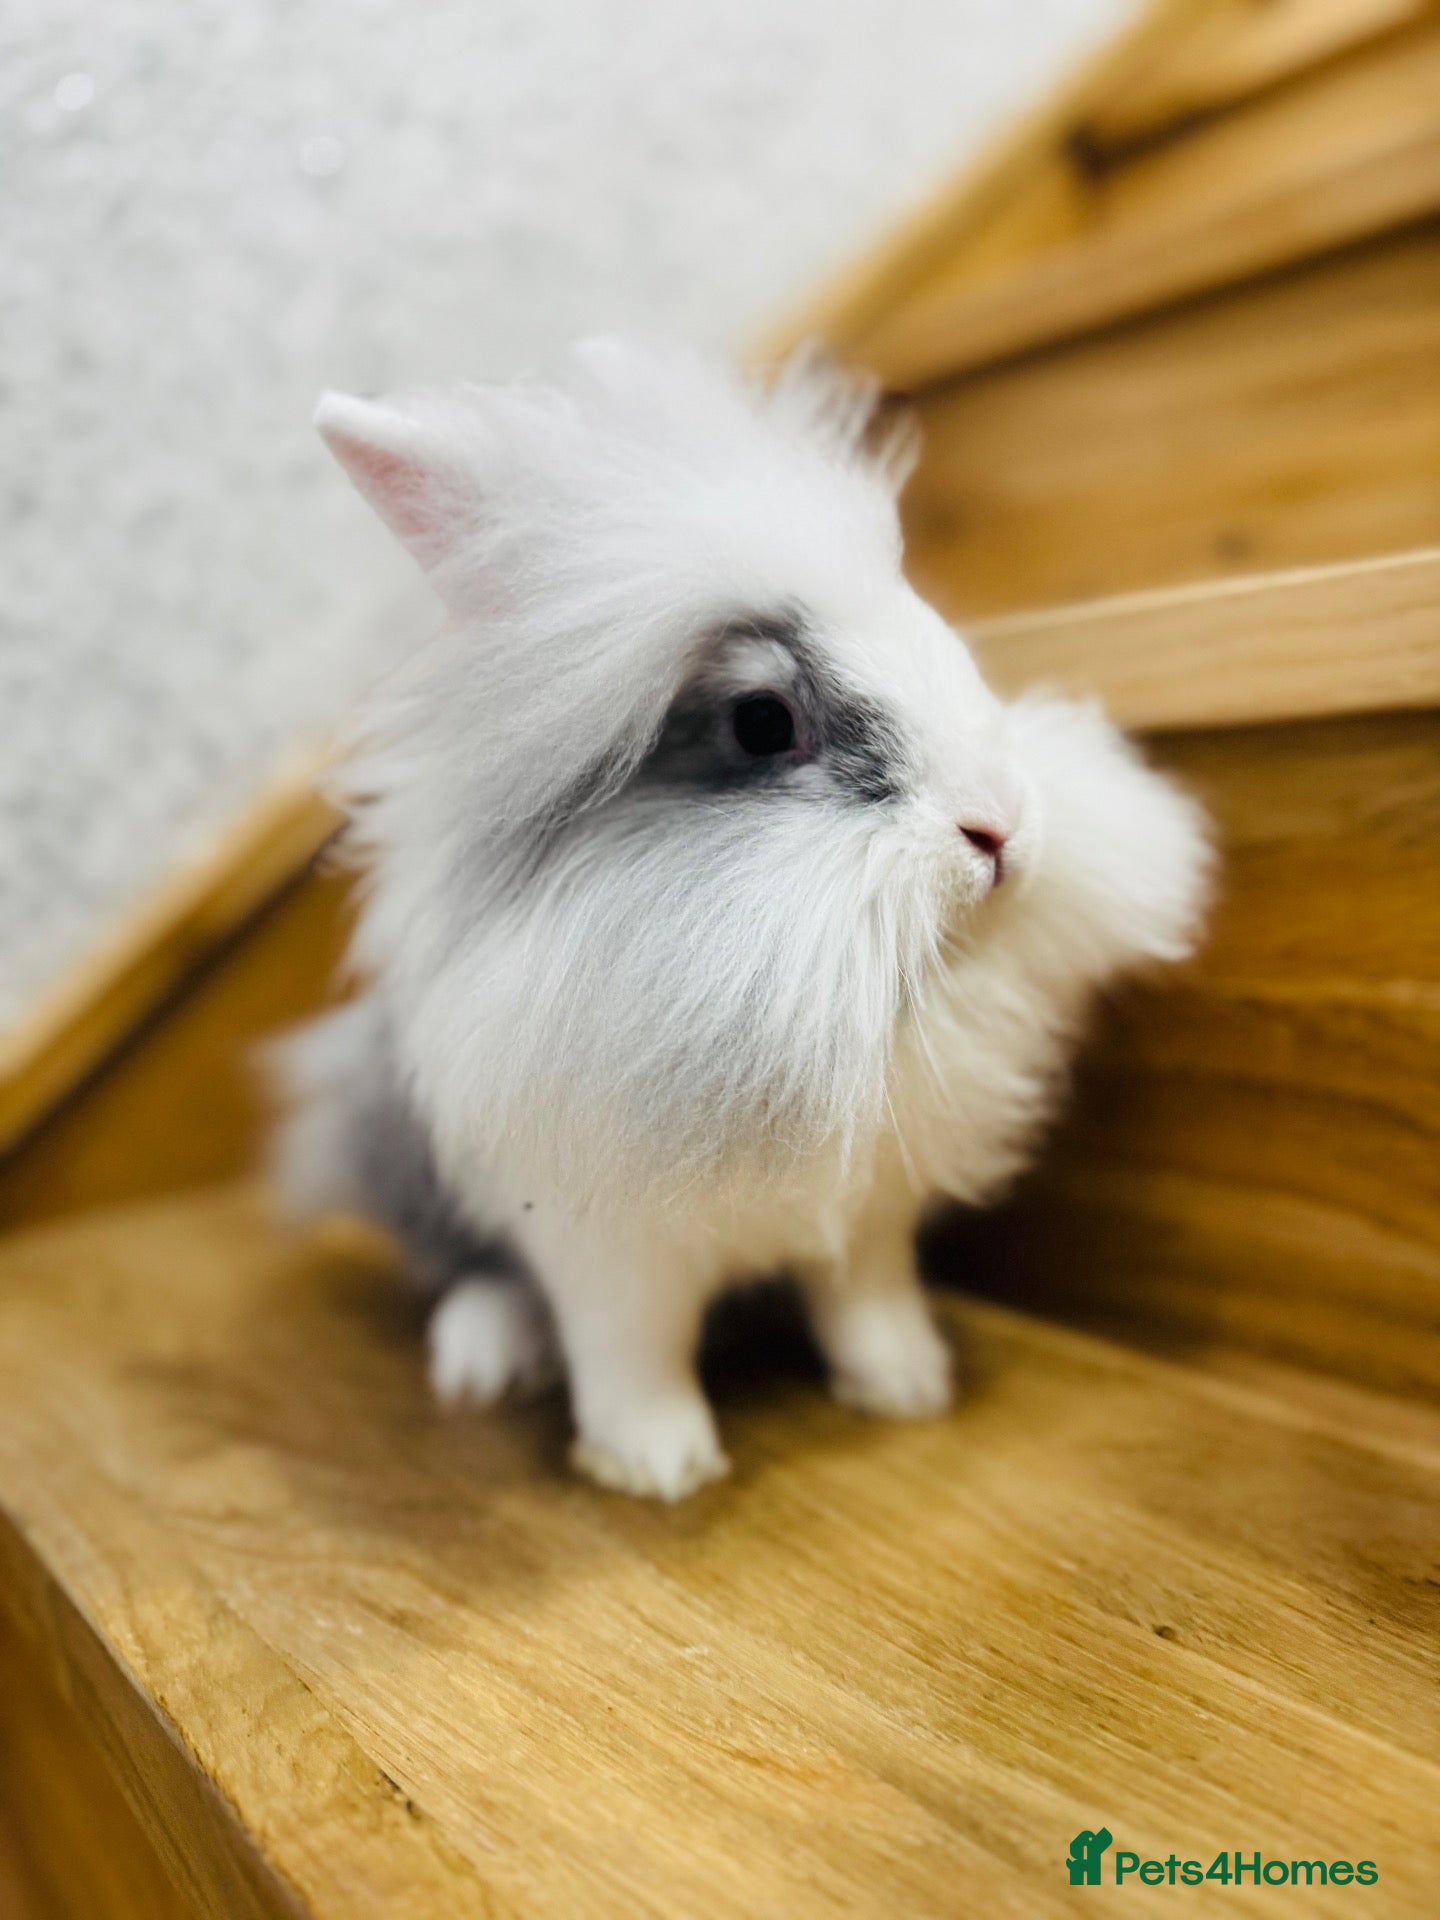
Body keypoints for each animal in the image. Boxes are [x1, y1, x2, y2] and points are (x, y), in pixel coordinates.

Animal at [271, 336, 1211, 1500]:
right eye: (762, 723)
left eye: (934, 628)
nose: (1000, 828)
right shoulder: (608, 1254)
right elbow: (631, 1355)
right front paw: (657, 1467)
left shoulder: (867, 1214)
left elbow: (866, 1301)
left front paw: (907, 1388)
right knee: (468, 1270)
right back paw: (484, 1357)